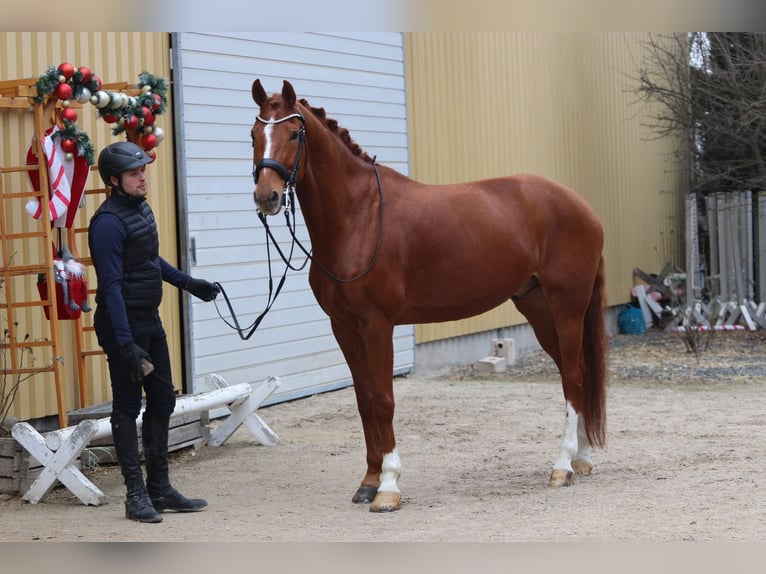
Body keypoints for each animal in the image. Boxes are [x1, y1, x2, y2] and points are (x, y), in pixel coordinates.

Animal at [250, 80, 608, 512]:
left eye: (293, 134)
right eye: (253, 135)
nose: (266, 197)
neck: (359, 218)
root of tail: (584, 207)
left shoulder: (377, 326)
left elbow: (383, 400)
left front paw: (388, 487)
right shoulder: (344, 328)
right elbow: (364, 401)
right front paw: (369, 481)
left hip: (567, 308)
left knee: (573, 378)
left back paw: (563, 466)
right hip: (539, 310)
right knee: (580, 375)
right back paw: (583, 458)